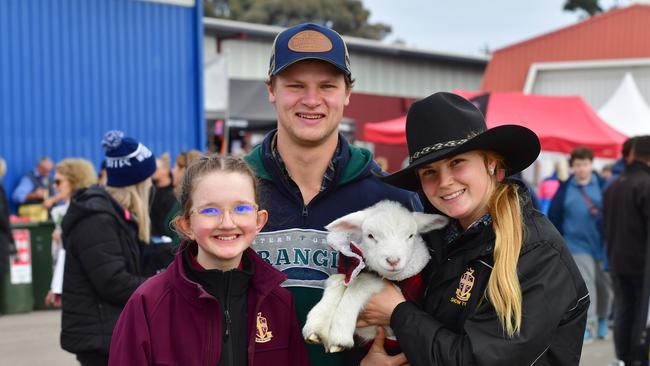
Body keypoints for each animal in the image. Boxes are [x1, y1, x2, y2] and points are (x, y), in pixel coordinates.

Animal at [302, 199, 446, 354]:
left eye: (410, 236)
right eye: (370, 236)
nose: (393, 260)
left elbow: (362, 282)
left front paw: (340, 336)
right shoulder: (349, 273)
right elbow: (338, 280)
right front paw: (316, 327)